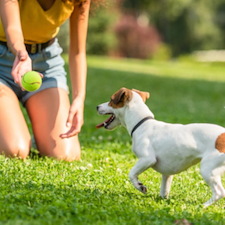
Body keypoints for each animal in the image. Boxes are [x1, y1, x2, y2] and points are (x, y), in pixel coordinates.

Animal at [96, 87, 225, 207]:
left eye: (111, 100)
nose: (97, 106)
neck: (142, 124)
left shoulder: (147, 159)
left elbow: (132, 174)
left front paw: (140, 186)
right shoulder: (167, 174)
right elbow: (164, 190)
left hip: (208, 169)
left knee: (219, 192)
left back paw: (202, 206)